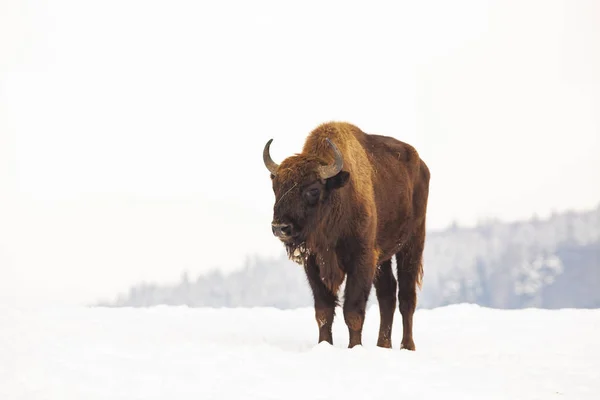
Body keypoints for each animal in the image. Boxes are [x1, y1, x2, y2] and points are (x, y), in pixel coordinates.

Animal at [264, 122, 428, 350]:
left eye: (313, 190)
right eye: (276, 187)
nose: (280, 227)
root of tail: (421, 165)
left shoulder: (361, 260)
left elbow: (353, 311)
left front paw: (354, 347)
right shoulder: (314, 264)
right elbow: (323, 312)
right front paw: (324, 346)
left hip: (412, 243)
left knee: (406, 296)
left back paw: (407, 346)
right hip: (383, 258)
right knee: (387, 293)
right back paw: (383, 345)